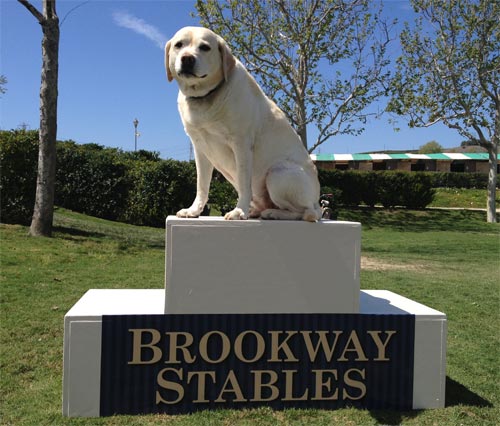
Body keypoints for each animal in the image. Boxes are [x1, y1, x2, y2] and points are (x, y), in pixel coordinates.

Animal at [164, 25, 320, 223]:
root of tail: (318, 201)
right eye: (179, 45)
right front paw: (193, 210)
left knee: (307, 212)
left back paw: (273, 213)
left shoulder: (242, 144)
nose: (187, 58)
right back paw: (257, 211)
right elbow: (202, 185)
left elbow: (245, 183)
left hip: (277, 174)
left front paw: (239, 211)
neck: (205, 97)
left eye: (205, 47)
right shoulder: (200, 149)